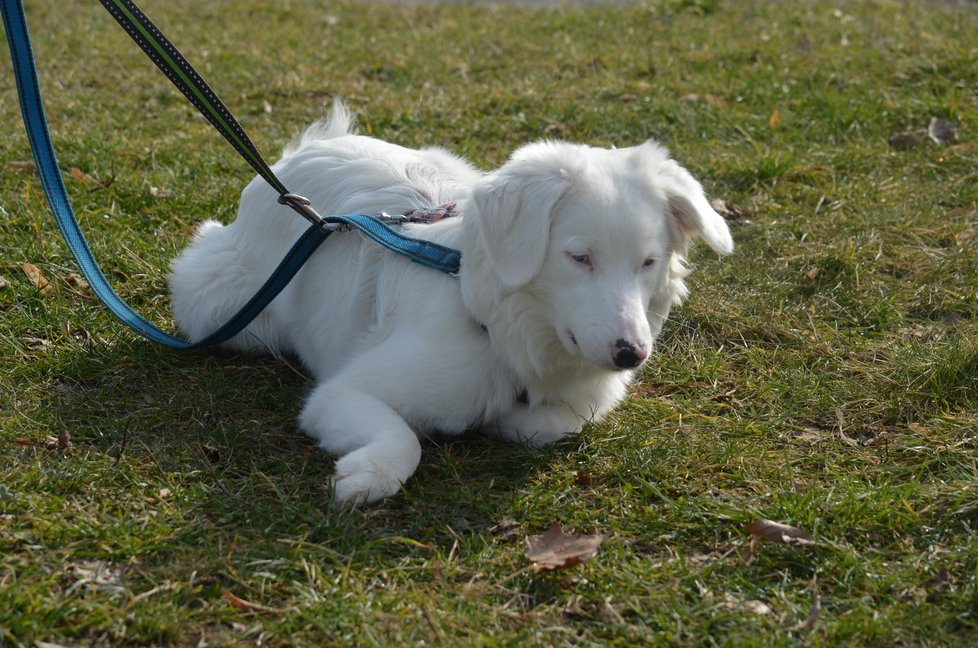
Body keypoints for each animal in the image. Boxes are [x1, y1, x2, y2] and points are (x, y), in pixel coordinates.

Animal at [170, 106, 732, 506]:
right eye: (579, 257)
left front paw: (506, 423)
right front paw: (367, 475)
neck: (501, 334)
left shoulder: (581, 402)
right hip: (225, 307)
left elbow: (553, 423)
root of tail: (310, 151)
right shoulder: (339, 393)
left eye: (648, 262)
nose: (632, 353)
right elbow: (405, 440)